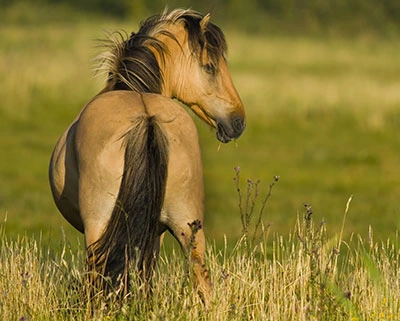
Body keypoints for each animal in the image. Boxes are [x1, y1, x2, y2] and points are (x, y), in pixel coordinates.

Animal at [48, 8, 245, 306]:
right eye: (210, 67)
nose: (238, 121)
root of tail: (147, 117)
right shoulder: (155, 233)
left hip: (98, 228)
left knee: (97, 275)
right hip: (187, 226)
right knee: (199, 275)